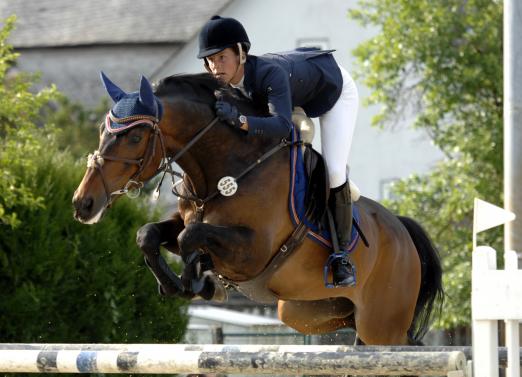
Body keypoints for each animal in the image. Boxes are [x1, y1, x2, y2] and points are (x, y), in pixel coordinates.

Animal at [71, 72, 440, 346]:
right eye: (102, 131)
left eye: (134, 138)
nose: (82, 203)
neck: (225, 168)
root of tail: (403, 231)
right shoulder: (186, 221)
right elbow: (149, 234)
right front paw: (179, 283)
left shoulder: (253, 250)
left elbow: (193, 237)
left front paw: (196, 282)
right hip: (305, 311)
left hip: (381, 324)